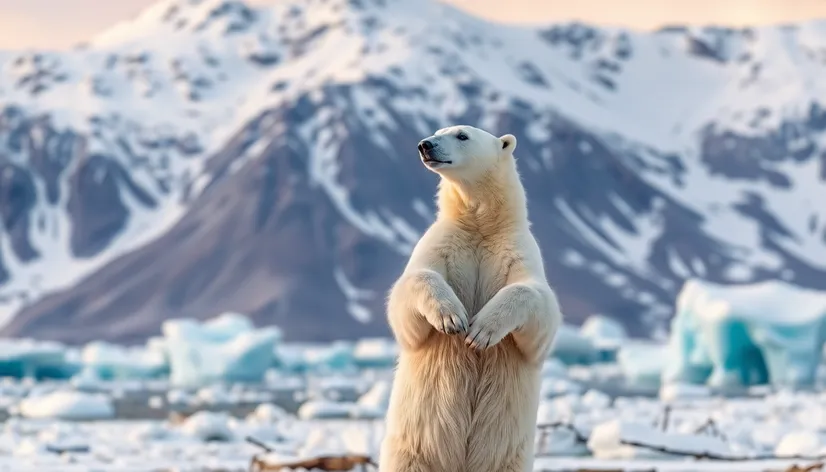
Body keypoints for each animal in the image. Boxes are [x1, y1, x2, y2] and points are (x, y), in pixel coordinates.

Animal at [378, 123, 560, 470]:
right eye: (438, 130)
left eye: (462, 135)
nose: (425, 145)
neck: (480, 225)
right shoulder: (442, 241)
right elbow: (408, 295)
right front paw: (452, 318)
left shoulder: (516, 249)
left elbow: (538, 306)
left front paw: (481, 331)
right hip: (413, 450)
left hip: (508, 457)